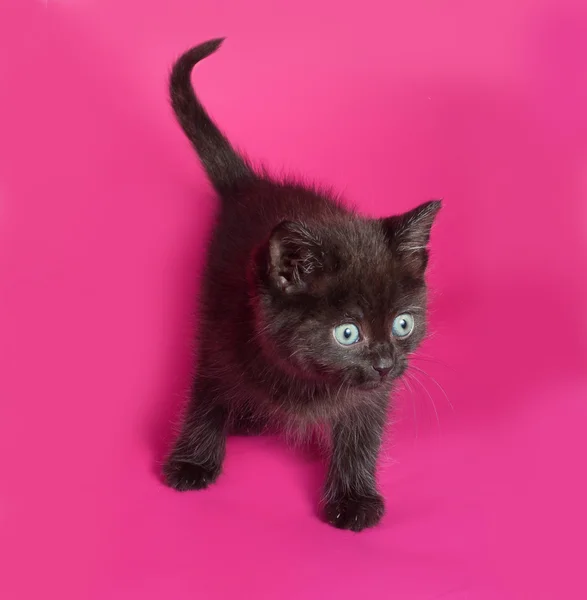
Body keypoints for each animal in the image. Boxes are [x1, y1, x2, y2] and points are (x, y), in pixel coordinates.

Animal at [162, 39, 440, 532]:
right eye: (348, 332)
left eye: (403, 324)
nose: (385, 362)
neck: (309, 379)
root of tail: (253, 186)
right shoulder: (220, 334)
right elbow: (205, 395)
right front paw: (193, 462)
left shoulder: (371, 394)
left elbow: (362, 433)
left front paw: (353, 497)